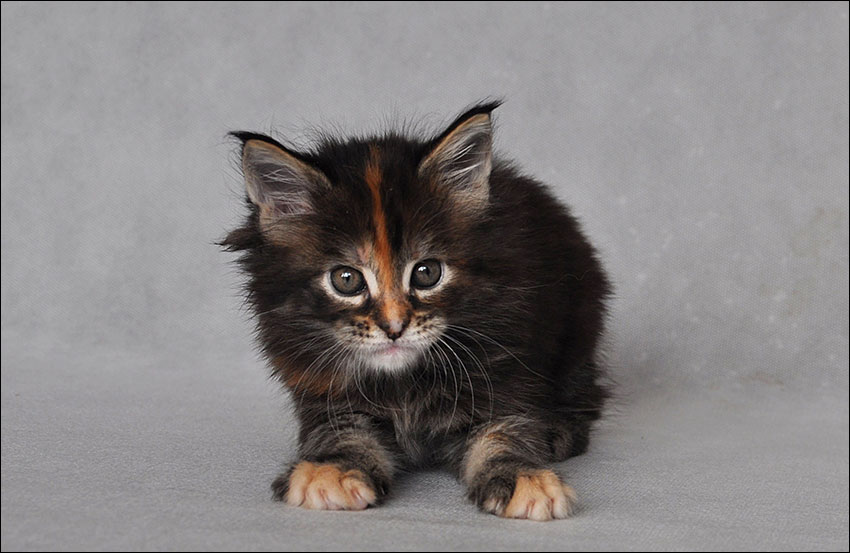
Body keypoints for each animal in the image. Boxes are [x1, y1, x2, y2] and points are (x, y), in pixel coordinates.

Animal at [221, 102, 611, 521]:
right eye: (346, 279)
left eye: (427, 273)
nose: (394, 326)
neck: (404, 384)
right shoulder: (322, 392)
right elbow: (341, 432)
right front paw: (332, 469)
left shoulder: (507, 375)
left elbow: (505, 433)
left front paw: (522, 476)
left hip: (581, 324)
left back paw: (559, 429)